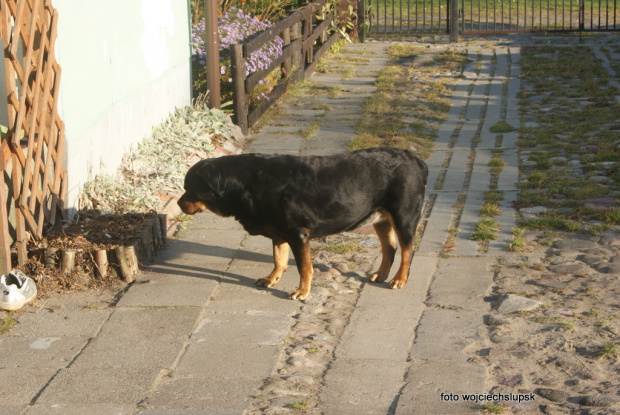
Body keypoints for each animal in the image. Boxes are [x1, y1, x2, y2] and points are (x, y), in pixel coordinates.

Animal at [177, 148, 424, 300]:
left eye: (189, 188)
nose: (178, 203)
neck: (247, 184)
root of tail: (416, 159)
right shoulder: (279, 232)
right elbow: (279, 259)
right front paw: (271, 279)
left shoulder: (298, 233)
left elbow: (304, 267)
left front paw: (302, 291)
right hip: (380, 217)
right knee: (390, 247)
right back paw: (381, 275)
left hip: (403, 216)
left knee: (407, 250)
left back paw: (399, 279)